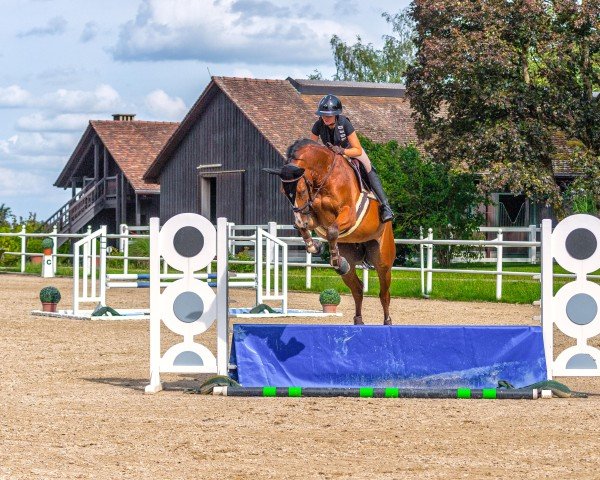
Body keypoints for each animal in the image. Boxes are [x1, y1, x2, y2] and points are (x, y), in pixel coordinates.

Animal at [264, 139, 396, 326]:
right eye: (284, 192)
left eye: (301, 191)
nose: (301, 219)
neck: (325, 177)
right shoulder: (314, 217)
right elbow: (305, 227)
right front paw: (316, 246)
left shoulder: (349, 214)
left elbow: (332, 231)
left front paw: (333, 259)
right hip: (350, 257)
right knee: (357, 289)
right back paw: (358, 319)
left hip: (383, 261)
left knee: (384, 294)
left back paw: (387, 322)